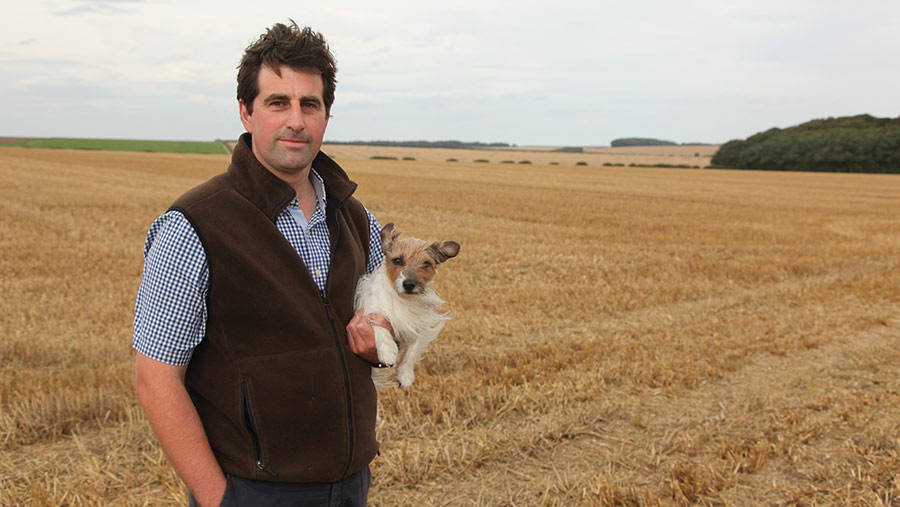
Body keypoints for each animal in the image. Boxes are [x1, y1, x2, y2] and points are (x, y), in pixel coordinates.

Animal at [356, 222, 460, 388]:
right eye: (397, 260)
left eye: (426, 263)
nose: (409, 284)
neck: (403, 299)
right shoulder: (370, 309)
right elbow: (378, 324)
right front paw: (388, 352)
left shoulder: (418, 326)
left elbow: (412, 352)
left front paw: (405, 375)